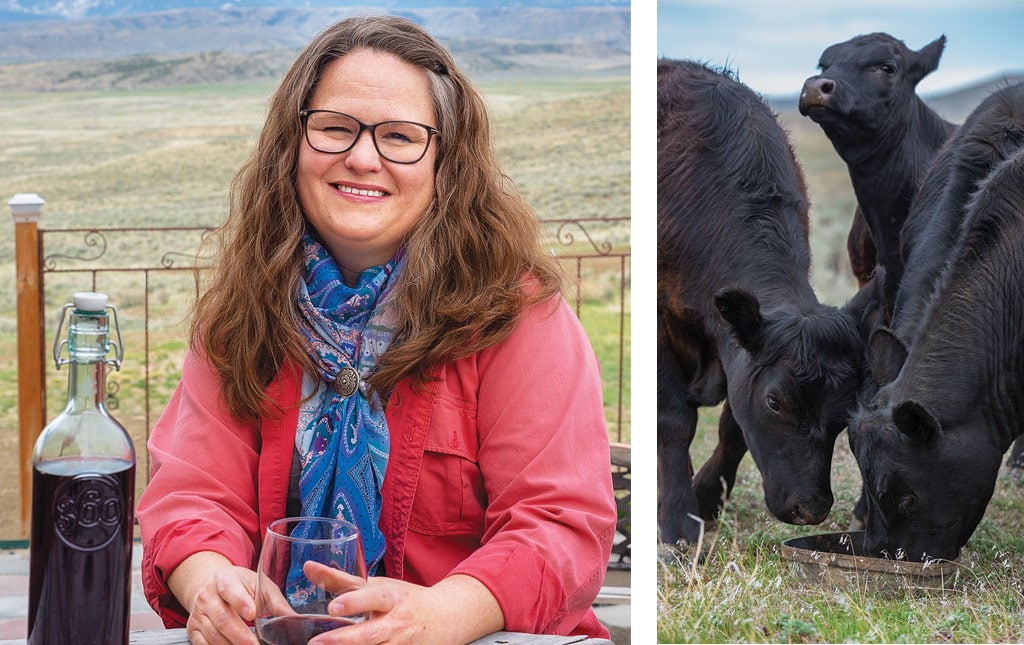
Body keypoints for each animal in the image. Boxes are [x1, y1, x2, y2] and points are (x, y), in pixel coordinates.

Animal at [655, 59, 872, 544]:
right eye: (776, 403)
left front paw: (705, 498)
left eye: (844, 411)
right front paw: (678, 521)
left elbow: (734, 426)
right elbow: (673, 420)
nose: (810, 508)